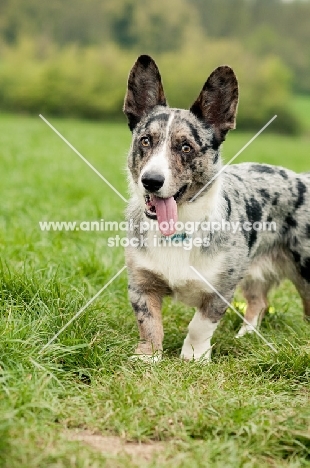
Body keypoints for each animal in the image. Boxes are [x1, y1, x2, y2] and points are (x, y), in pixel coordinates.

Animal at [122, 54, 308, 362]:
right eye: (145, 140)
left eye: (186, 147)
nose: (151, 181)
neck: (179, 229)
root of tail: (302, 178)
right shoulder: (142, 283)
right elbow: (148, 323)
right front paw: (148, 357)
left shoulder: (220, 289)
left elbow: (199, 325)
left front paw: (193, 358)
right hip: (254, 273)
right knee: (258, 302)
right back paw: (247, 336)